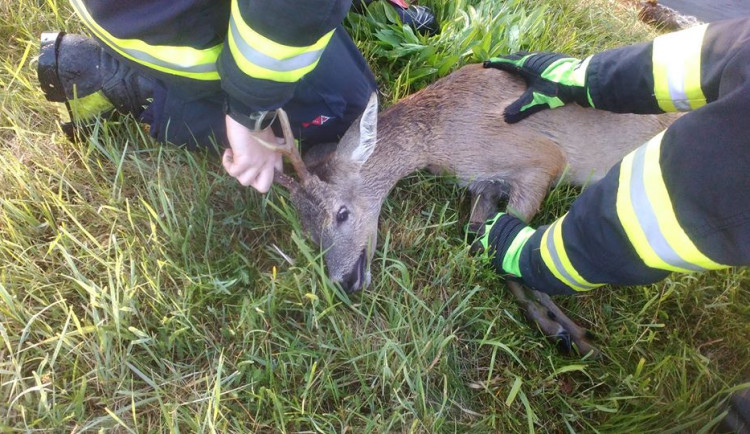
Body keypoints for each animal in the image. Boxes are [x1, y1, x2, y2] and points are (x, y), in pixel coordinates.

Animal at [272, 64, 680, 354]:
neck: (439, 133)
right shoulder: (485, 186)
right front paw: (558, 328)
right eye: (308, 232)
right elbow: (486, 244)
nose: (343, 281)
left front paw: (573, 334)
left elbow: (522, 254)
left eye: (342, 213)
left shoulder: (543, 162)